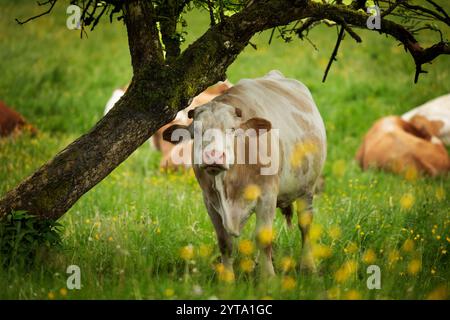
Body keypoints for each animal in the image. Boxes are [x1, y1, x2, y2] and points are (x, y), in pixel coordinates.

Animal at [163, 71, 326, 276]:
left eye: (232, 129)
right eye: (196, 132)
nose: (213, 156)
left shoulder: (267, 196)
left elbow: (263, 239)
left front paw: (268, 277)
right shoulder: (209, 201)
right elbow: (225, 243)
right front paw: (228, 279)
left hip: (307, 189)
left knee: (305, 225)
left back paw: (308, 267)